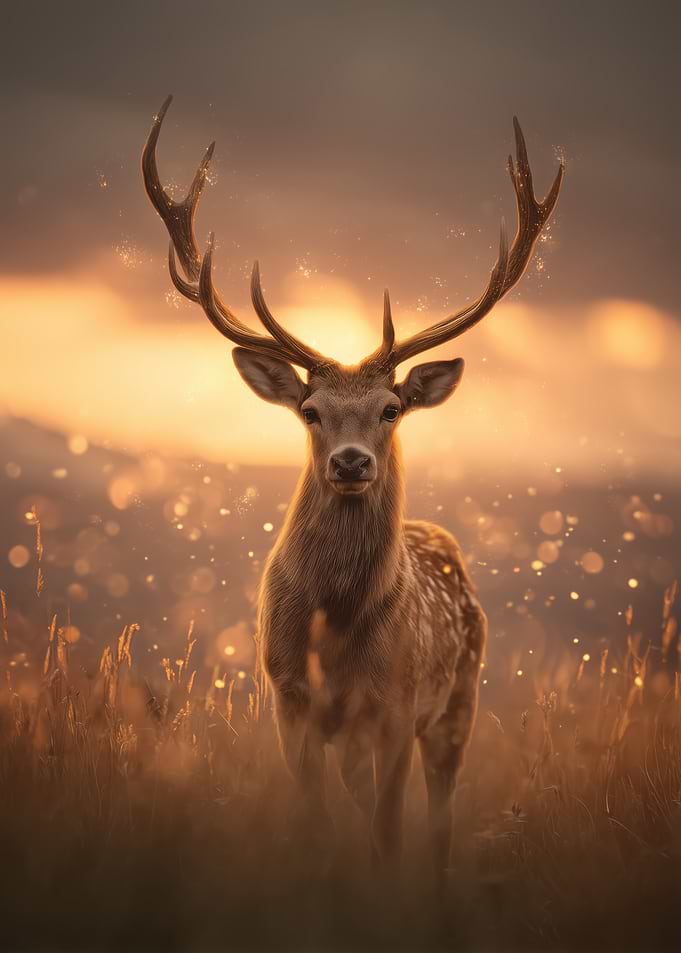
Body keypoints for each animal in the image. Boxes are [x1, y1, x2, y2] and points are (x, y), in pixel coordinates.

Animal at [142, 96, 563, 876]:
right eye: (310, 410)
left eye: (390, 408)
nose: (349, 462)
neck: (334, 628)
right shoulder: (288, 697)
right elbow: (317, 823)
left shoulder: (396, 703)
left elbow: (388, 831)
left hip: (460, 698)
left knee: (438, 819)